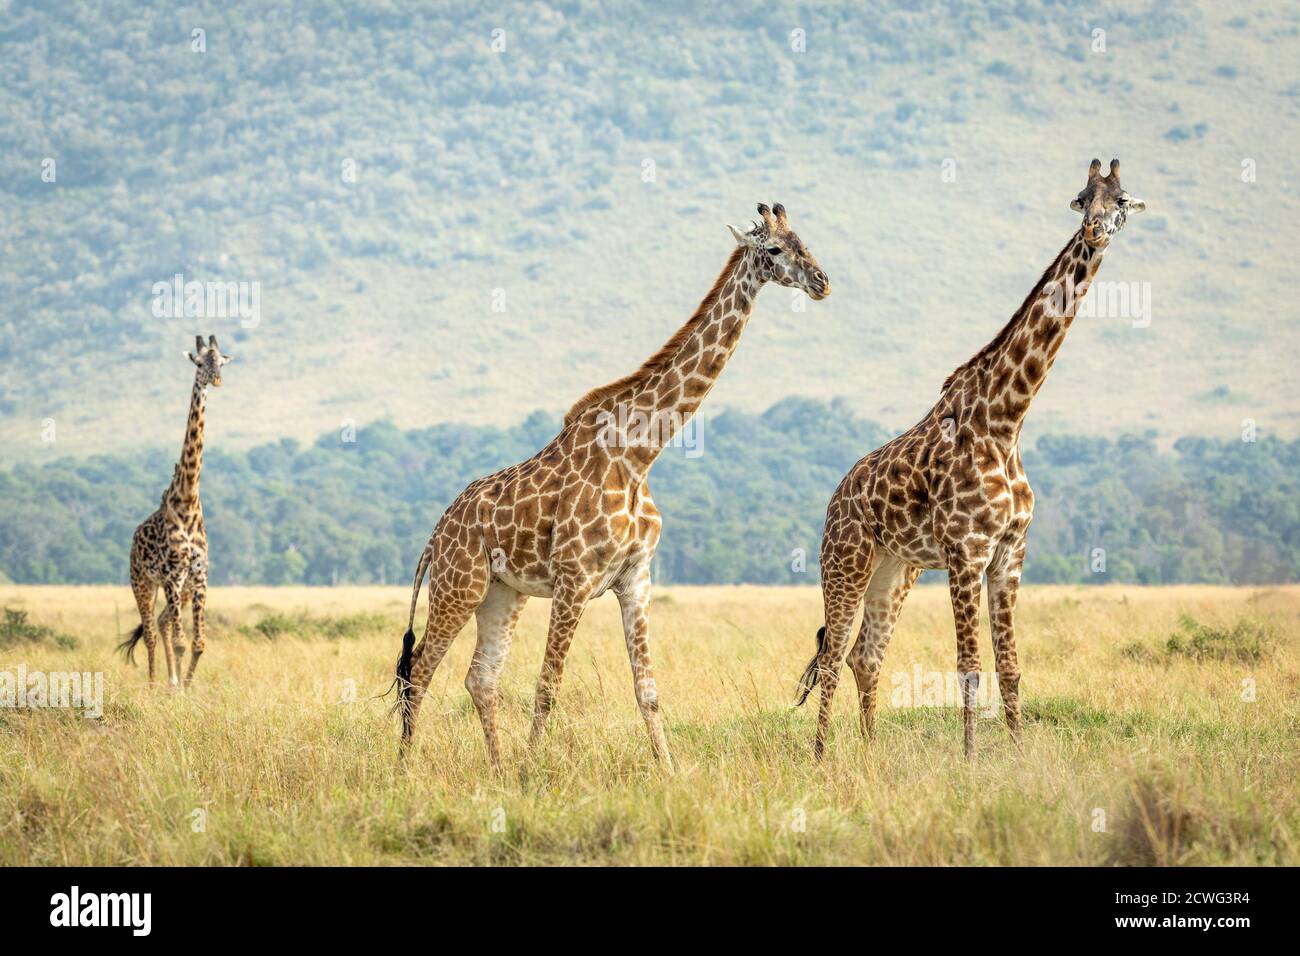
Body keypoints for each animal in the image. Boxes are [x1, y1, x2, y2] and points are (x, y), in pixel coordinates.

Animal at [118, 335, 230, 686]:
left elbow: (198, 642)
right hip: (142, 582)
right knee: (151, 630)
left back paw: (171, 683)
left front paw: (186, 687)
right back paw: (155, 684)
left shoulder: (199, 576)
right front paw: (178, 689)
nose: (216, 380)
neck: (188, 500)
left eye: (221, 361)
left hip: (181, 590)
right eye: (200, 363)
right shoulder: (171, 575)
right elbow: (182, 642)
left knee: (163, 623)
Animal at [390, 201, 826, 770]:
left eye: (805, 241)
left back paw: (498, 769)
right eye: (773, 249)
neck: (638, 455)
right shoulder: (574, 580)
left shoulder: (636, 579)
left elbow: (648, 690)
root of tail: (435, 535)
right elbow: (548, 686)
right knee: (419, 671)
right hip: (457, 586)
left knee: (479, 678)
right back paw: (407, 769)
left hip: (502, 593)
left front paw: (669, 770)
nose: (821, 282)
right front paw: (533, 773)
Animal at [790, 158, 1149, 764]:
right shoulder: (966, 553)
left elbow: (1010, 666)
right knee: (835, 653)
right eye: (1081, 197)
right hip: (844, 562)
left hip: (895, 569)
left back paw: (870, 754)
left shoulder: (1010, 553)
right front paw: (972, 758)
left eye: (1121, 199)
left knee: (866, 654)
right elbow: (970, 667)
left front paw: (1020, 754)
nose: (1096, 230)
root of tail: (836, 498)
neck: (1007, 421)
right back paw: (819, 757)